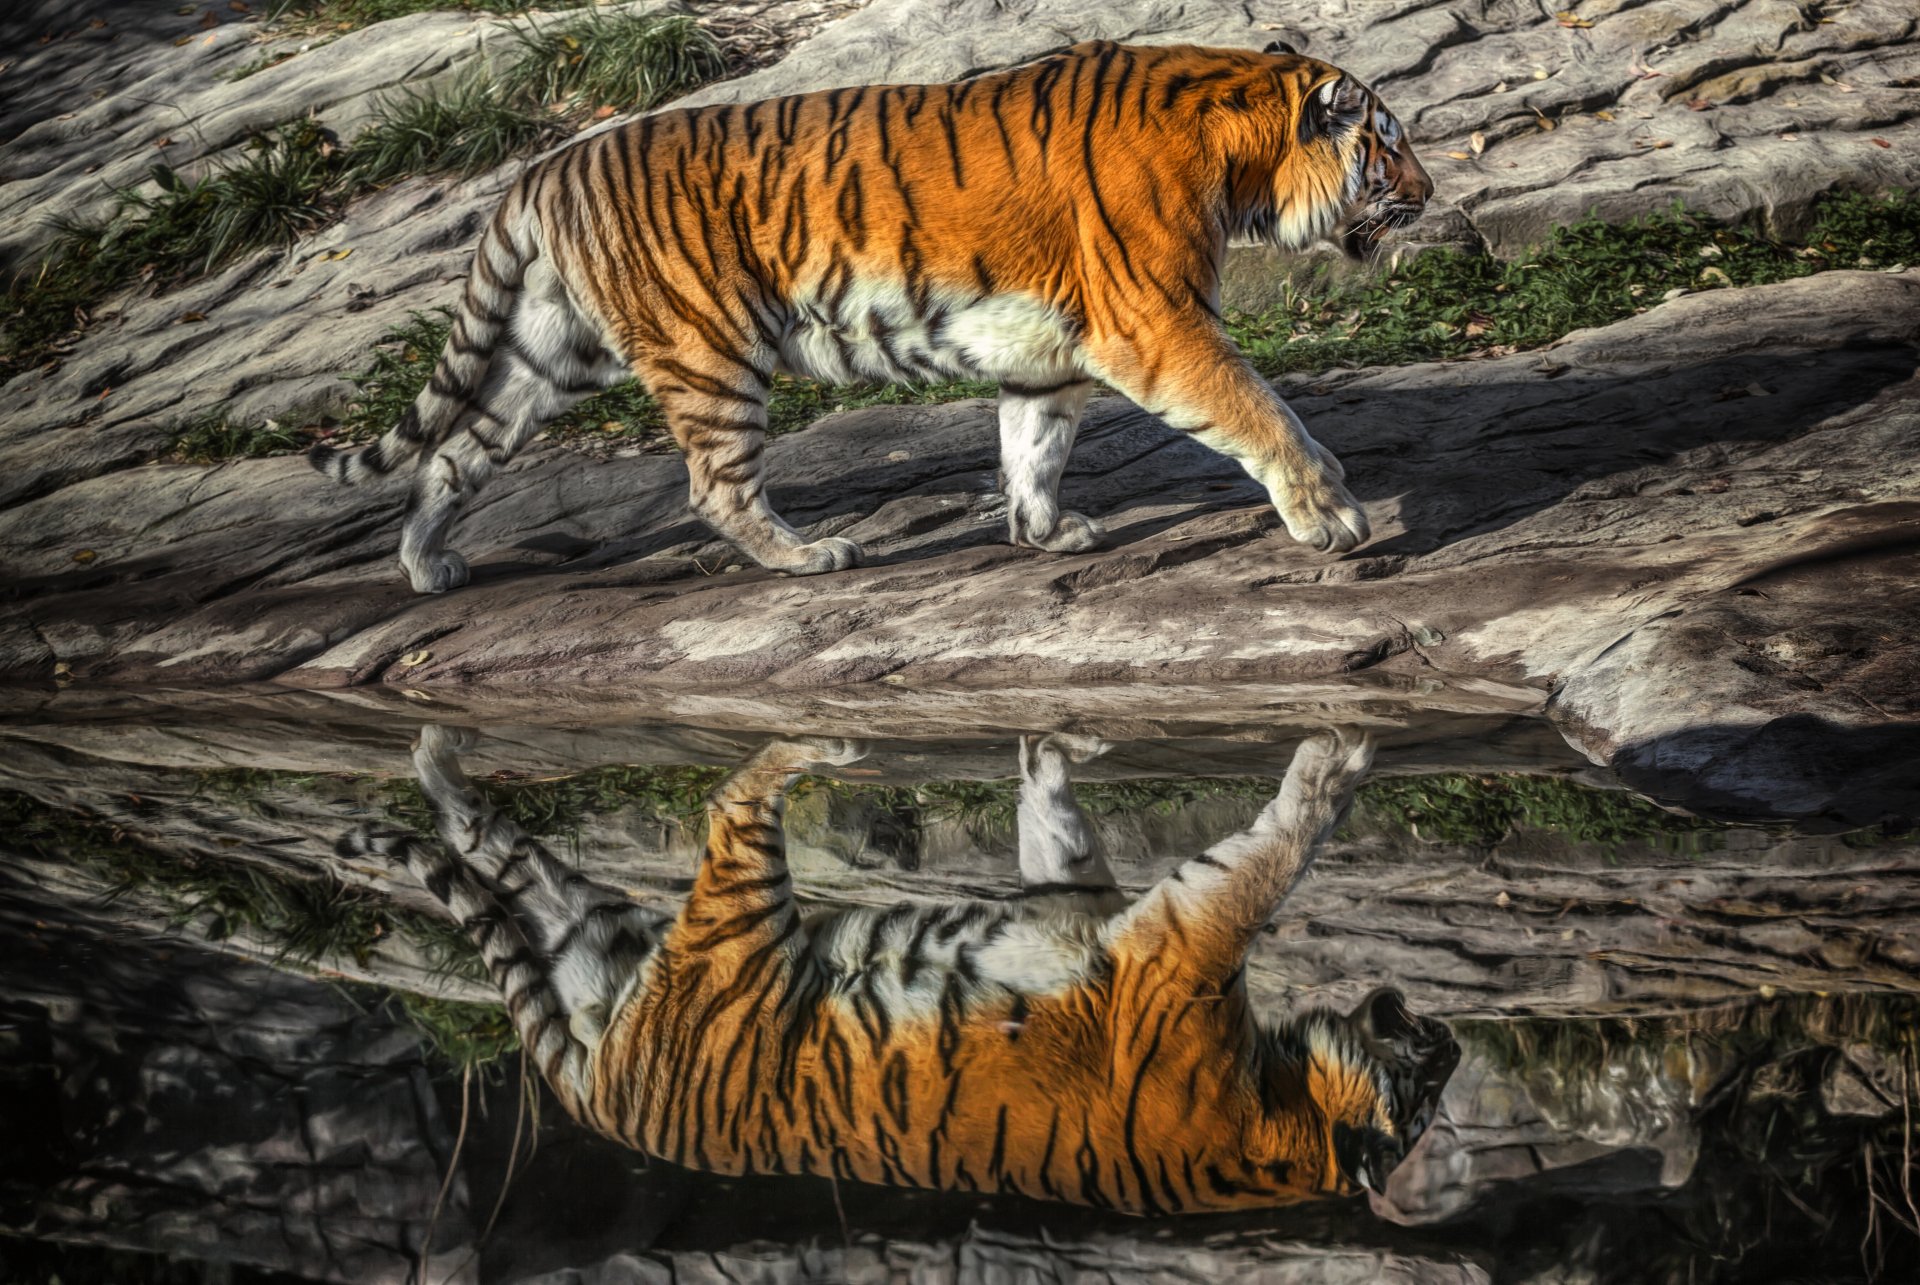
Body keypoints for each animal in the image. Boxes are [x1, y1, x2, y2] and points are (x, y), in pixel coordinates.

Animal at [309, 40, 1434, 593]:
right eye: (1388, 143)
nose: (1428, 192)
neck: (1240, 149)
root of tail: (544, 165)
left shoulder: (1055, 347)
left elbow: (1032, 442)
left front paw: (1044, 532)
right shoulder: (1156, 323)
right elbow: (1261, 411)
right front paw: (1334, 516)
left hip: (553, 356)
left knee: (453, 451)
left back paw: (427, 565)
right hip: (710, 349)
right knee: (714, 485)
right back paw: (811, 559)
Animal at [342, 725, 1459, 1214]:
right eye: (1430, 1083)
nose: (1447, 1033)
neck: (1284, 1114)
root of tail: (604, 1093)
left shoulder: (1170, 941)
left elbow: (1268, 857)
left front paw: (1336, 760)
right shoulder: (1111, 918)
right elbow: (1067, 832)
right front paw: (1055, 748)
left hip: (713, 926)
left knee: (722, 798)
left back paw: (824, 739)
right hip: (627, 935)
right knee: (495, 841)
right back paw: (427, 762)